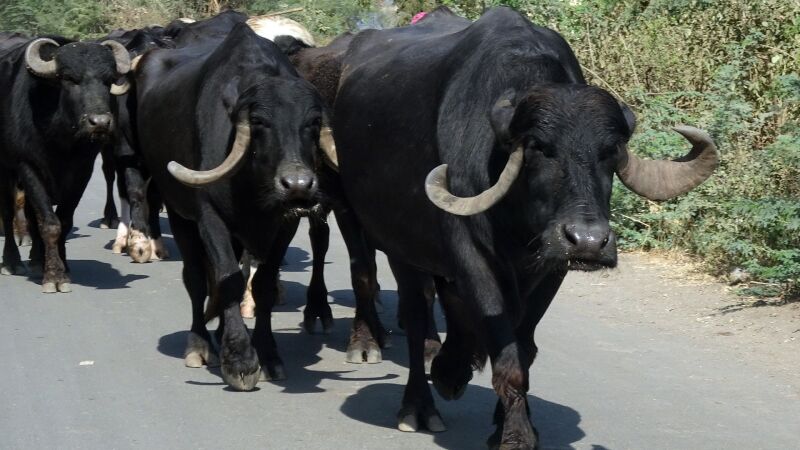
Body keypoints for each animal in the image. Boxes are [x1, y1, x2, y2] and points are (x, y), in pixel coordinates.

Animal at [0, 35, 131, 291]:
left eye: (109, 80)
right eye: (70, 79)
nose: (100, 122)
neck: (59, 141)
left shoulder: (82, 171)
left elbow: (64, 220)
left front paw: (61, 266)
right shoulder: (28, 166)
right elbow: (49, 224)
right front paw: (54, 276)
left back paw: (37, 259)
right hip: (3, 170)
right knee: (9, 211)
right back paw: (12, 262)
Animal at [133, 21, 334, 390]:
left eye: (313, 123)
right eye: (259, 123)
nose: (297, 185)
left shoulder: (284, 225)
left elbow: (262, 285)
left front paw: (267, 354)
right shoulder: (209, 219)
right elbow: (227, 278)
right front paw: (239, 359)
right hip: (180, 215)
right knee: (197, 278)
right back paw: (200, 344)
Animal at [324, 7, 718, 447]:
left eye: (610, 151)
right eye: (539, 148)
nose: (588, 241)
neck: (515, 217)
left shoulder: (550, 269)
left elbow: (523, 348)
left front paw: (504, 419)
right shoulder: (473, 258)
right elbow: (506, 353)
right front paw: (515, 434)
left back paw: (450, 371)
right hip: (396, 245)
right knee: (415, 312)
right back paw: (418, 405)